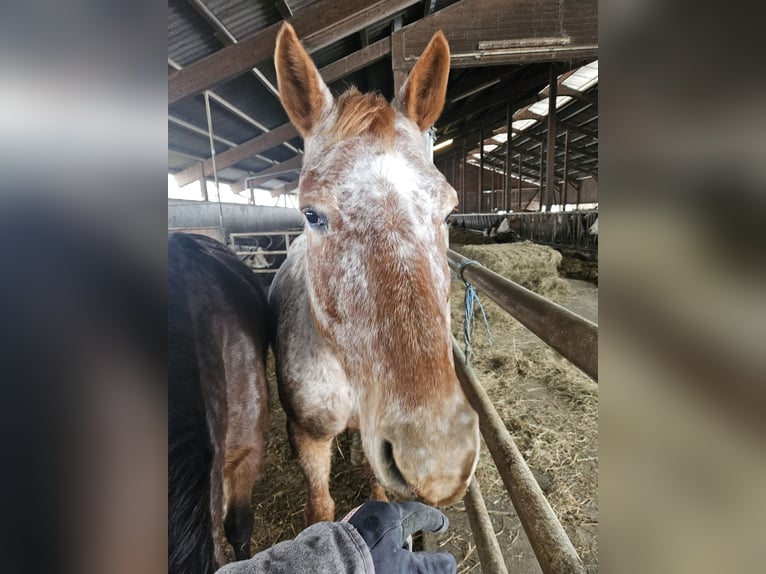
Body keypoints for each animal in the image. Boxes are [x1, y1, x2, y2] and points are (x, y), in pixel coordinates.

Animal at [268, 22, 476, 528]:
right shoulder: (308, 436)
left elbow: (378, 490)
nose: (438, 460)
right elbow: (321, 508)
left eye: (448, 211)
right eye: (312, 214)